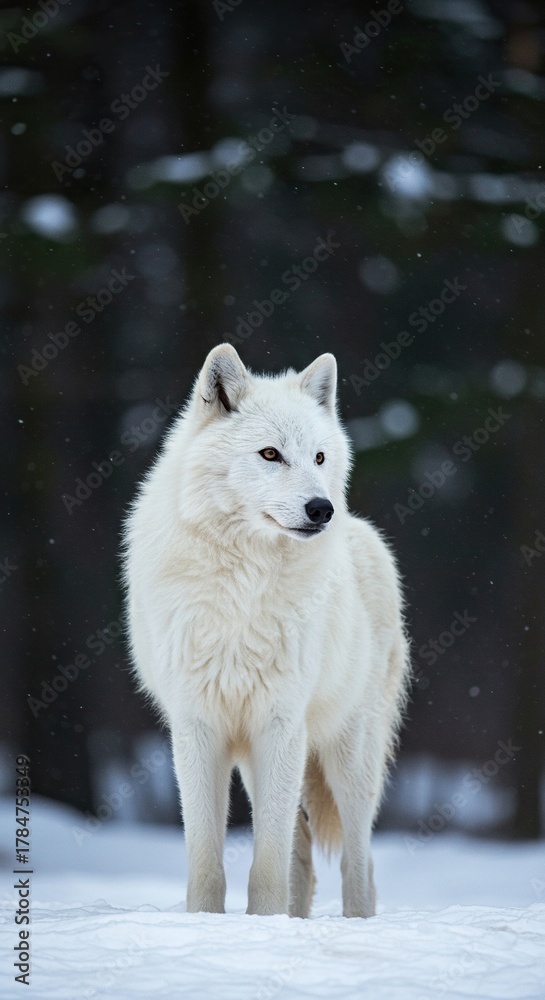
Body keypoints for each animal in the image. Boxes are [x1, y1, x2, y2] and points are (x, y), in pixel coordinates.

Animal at [123, 344, 410, 918]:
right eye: (271, 454)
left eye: (318, 458)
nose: (321, 509)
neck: (244, 588)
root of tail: (365, 531)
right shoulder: (197, 727)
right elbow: (207, 857)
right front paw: (210, 922)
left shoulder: (280, 724)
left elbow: (268, 861)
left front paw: (265, 920)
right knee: (307, 864)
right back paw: (295, 920)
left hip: (349, 757)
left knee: (360, 864)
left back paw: (356, 921)